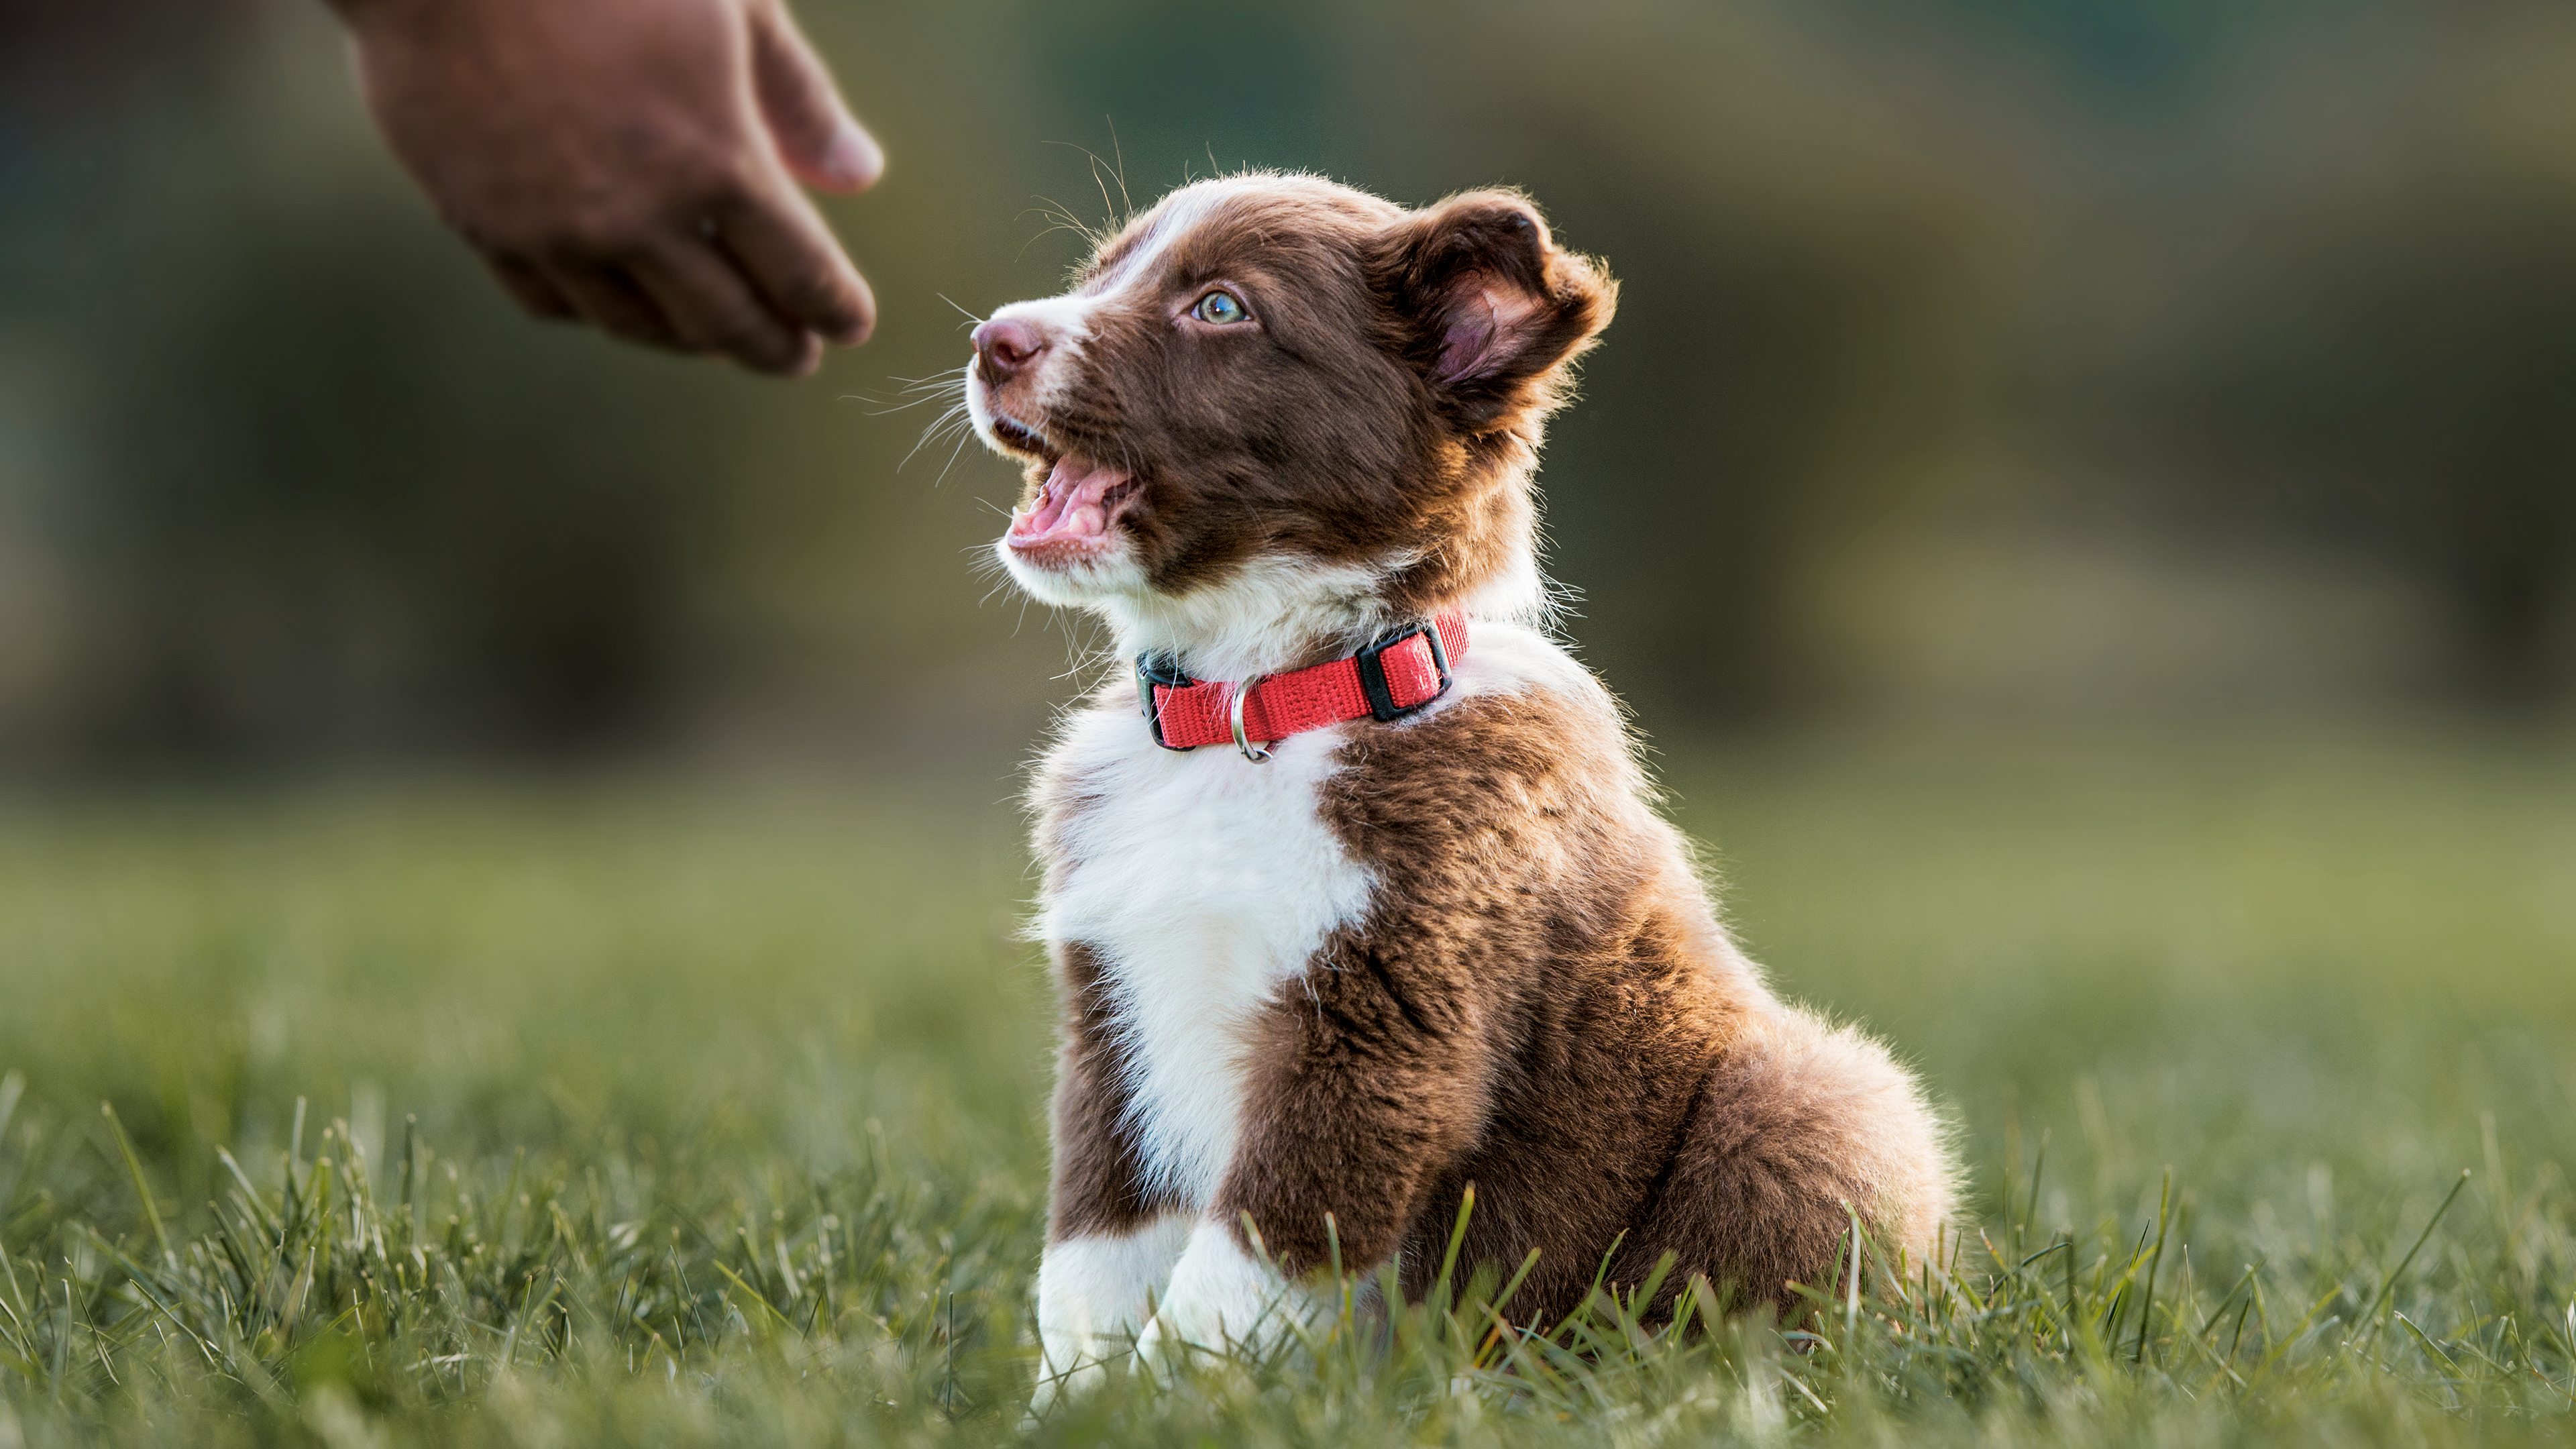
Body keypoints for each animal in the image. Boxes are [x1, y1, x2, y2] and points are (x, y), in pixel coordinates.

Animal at [968, 168, 1947, 1402]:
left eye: (1223, 309)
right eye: (1101, 273)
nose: (991, 340)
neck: (1256, 707)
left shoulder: (1380, 1029)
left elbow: (1238, 1265)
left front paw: (1167, 1406)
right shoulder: (1110, 1018)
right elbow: (1091, 1258)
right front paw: (1075, 1404)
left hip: (1814, 1102)